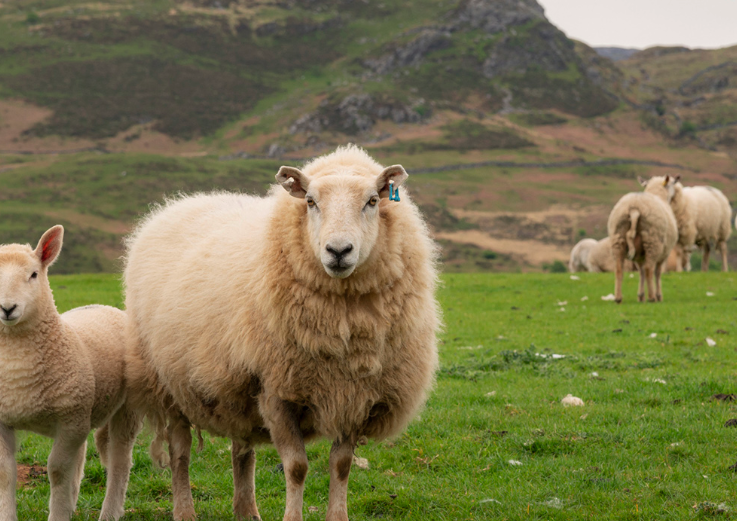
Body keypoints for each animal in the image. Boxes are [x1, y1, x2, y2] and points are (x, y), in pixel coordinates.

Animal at [0, 225, 141, 520]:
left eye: (34, 274)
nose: (7, 308)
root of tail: (106, 307)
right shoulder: (3, 420)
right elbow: (5, 473)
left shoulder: (70, 420)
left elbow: (56, 470)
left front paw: (58, 512)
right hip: (85, 408)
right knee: (87, 451)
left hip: (126, 407)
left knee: (120, 460)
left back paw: (110, 512)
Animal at [123, 143, 440, 520]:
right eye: (311, 202)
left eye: (373, 201)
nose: (338, 251)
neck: (343, 320)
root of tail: (177, 204)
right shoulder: (277, 391)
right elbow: (297, 467)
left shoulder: (352, 395)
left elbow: (342, 465)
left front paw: (338, 516)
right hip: (170, 382)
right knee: (180, 451)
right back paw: (185, 510)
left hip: (236, 386)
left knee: (241, 450)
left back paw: (246, 511)